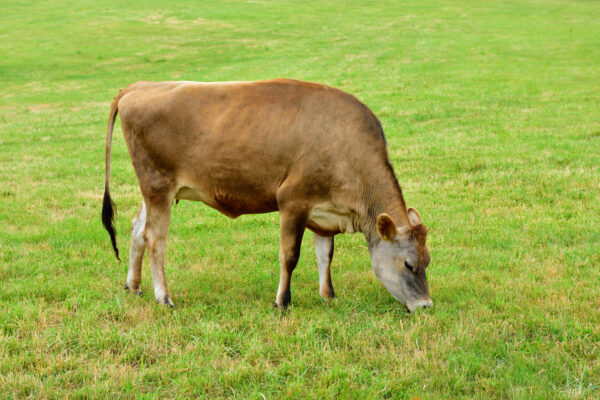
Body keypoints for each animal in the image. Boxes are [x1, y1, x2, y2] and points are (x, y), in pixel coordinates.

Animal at [103, 77, 432, 310]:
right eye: (408, 264)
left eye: (428, 260)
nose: (426, 305)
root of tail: (141, 86)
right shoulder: (292, 201)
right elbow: (290, 256)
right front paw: (282, 301)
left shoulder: (324, 212)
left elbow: (325, 255)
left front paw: (328, 296)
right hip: (157, 185)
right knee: (155, 239)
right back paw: (164, 297)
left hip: (154, 190)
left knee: (137, 229)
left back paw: (134, 286)